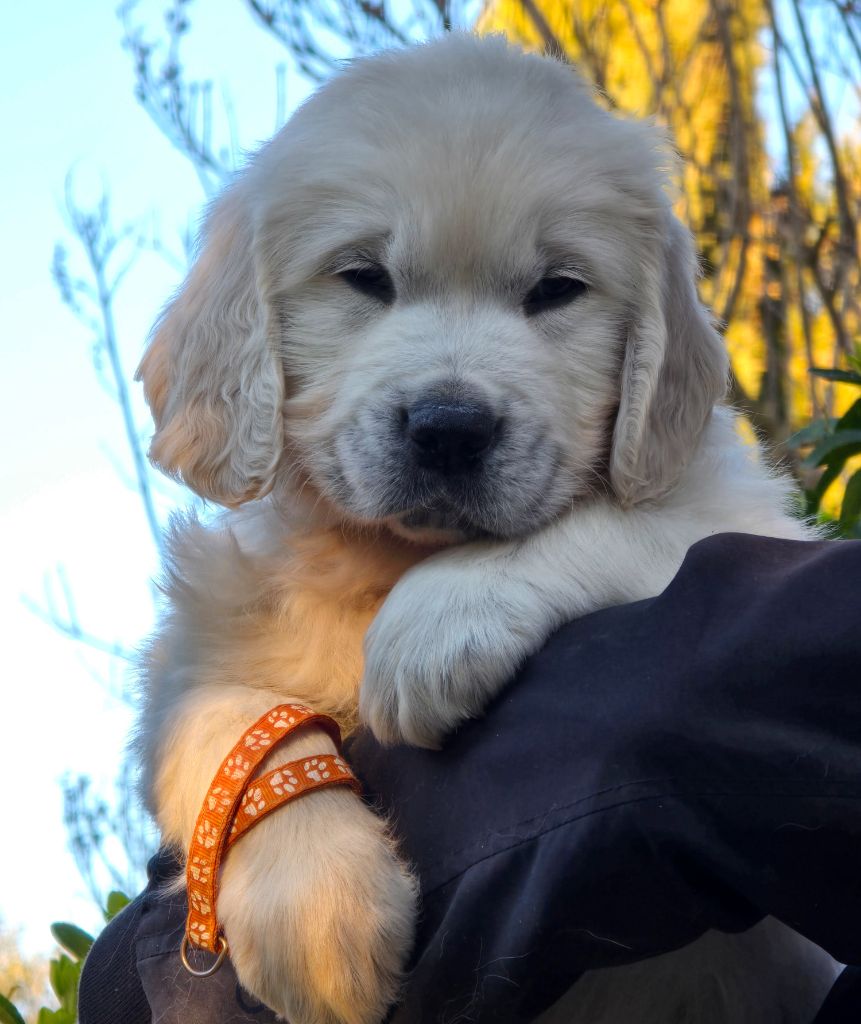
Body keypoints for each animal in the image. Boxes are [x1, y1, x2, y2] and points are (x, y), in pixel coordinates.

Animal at [136, 33, 837, 1024]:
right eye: (364, 277)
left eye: (557, 289)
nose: (449, 428)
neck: (387, 561)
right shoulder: (203, 629)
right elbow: (217, 716)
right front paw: (315, 916)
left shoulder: (743, 510)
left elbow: (632, 523)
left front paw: (436, 624)